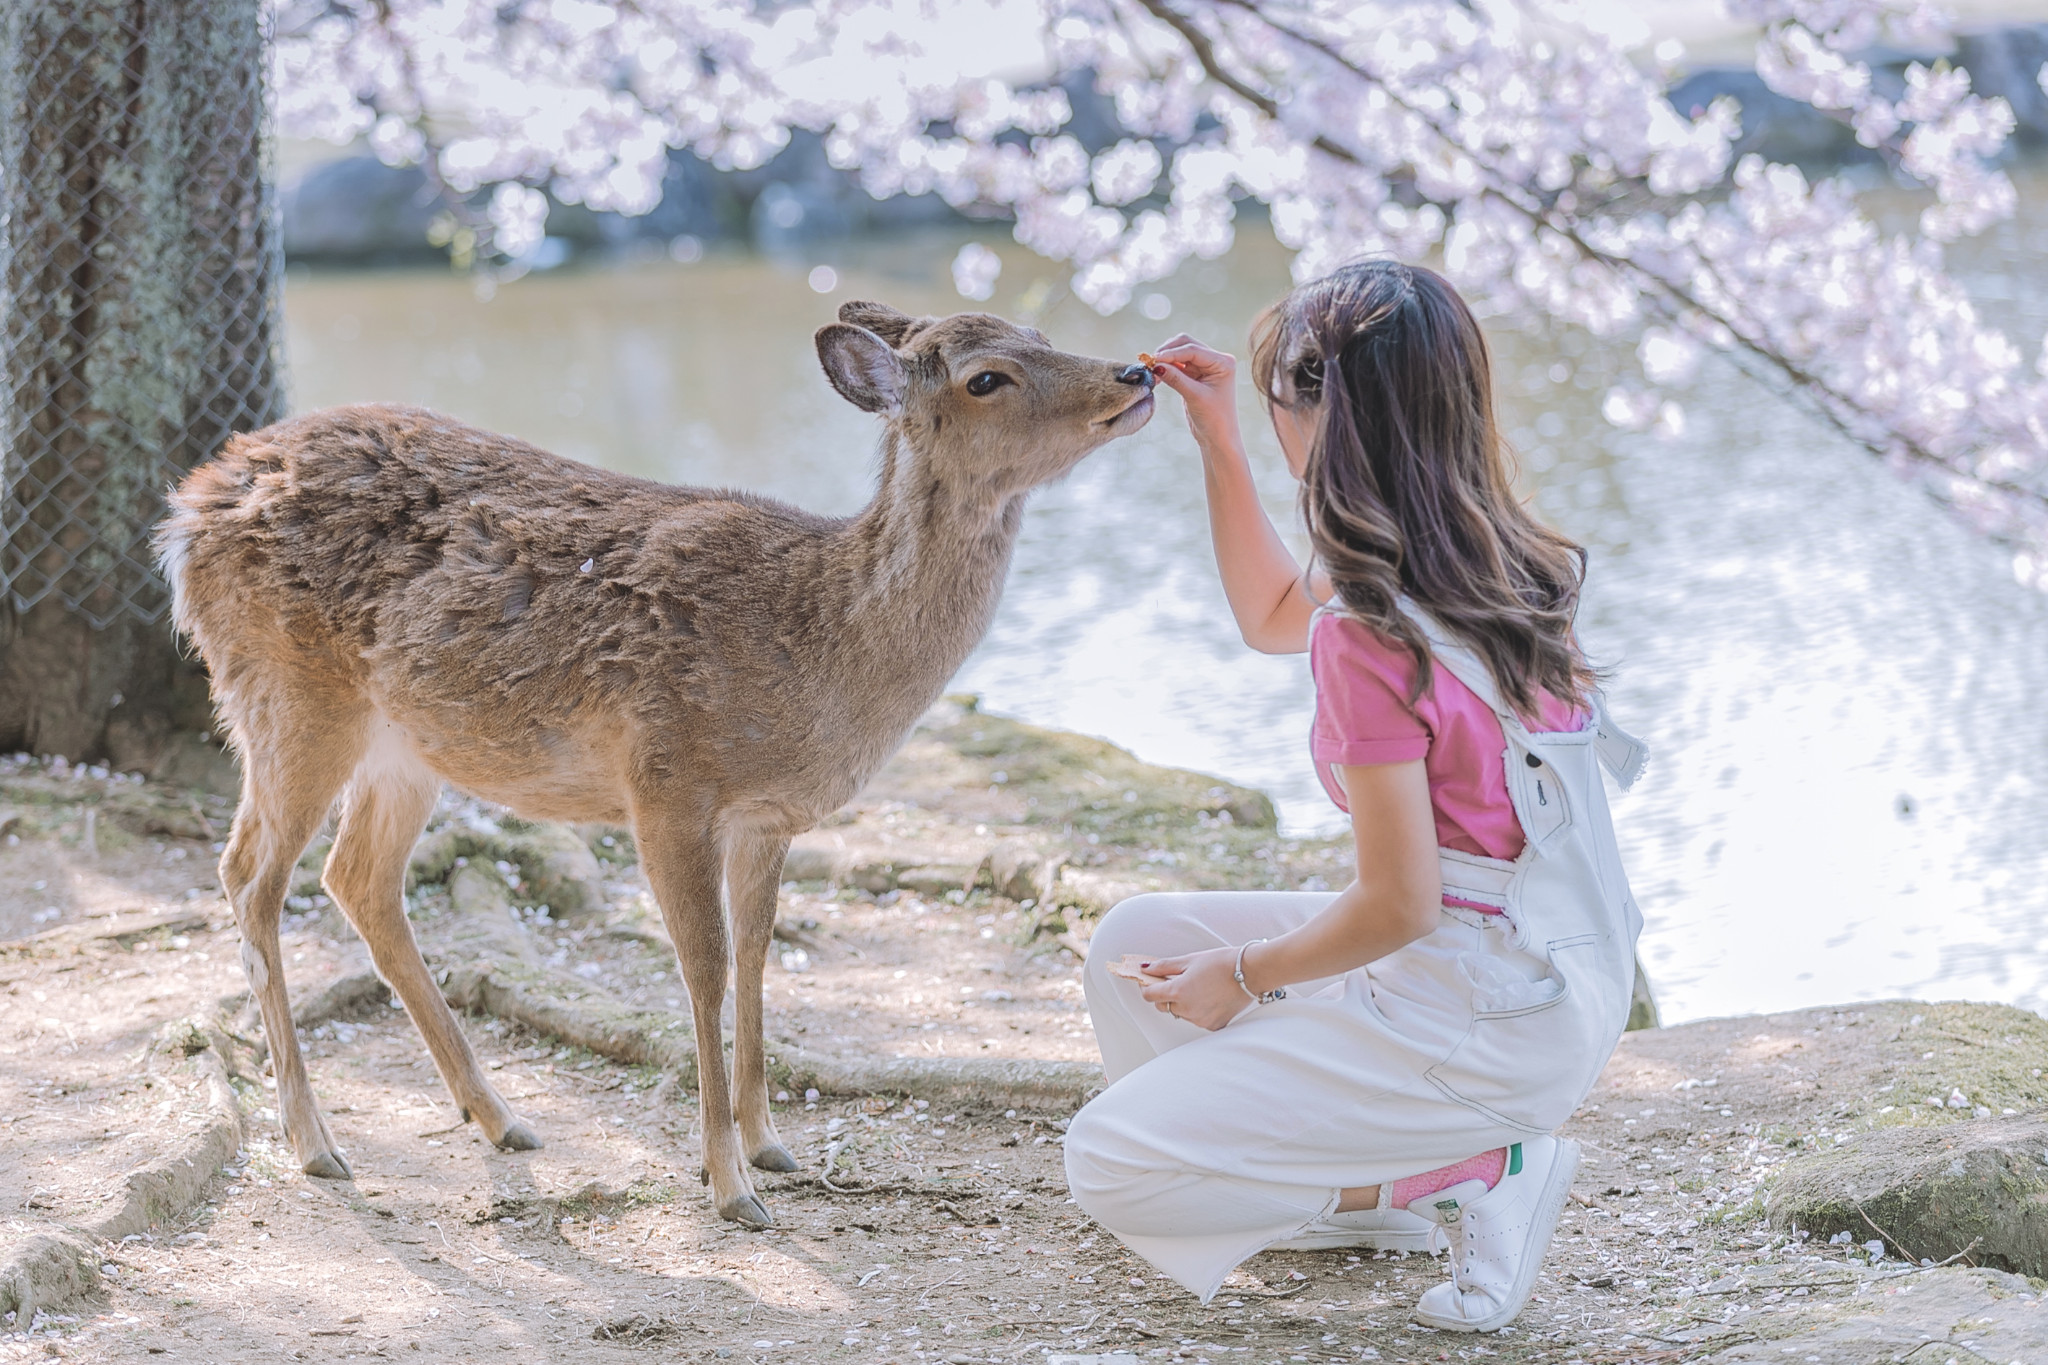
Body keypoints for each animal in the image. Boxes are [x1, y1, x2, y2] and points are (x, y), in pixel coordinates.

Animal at [153, 298, 1163, 1227]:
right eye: (987, 376)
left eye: (1041, 331)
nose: (1137, 373)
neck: (820, 647)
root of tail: (185, 511)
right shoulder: (667, 780)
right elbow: (703, 966)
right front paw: (729, 1184)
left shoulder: (765, 814)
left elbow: (757, 954)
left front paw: (771, 1143)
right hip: (286, 694)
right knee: (251, 874)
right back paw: (317, 1143)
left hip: (405, 743)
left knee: (357, 876)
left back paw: (500, 1117)